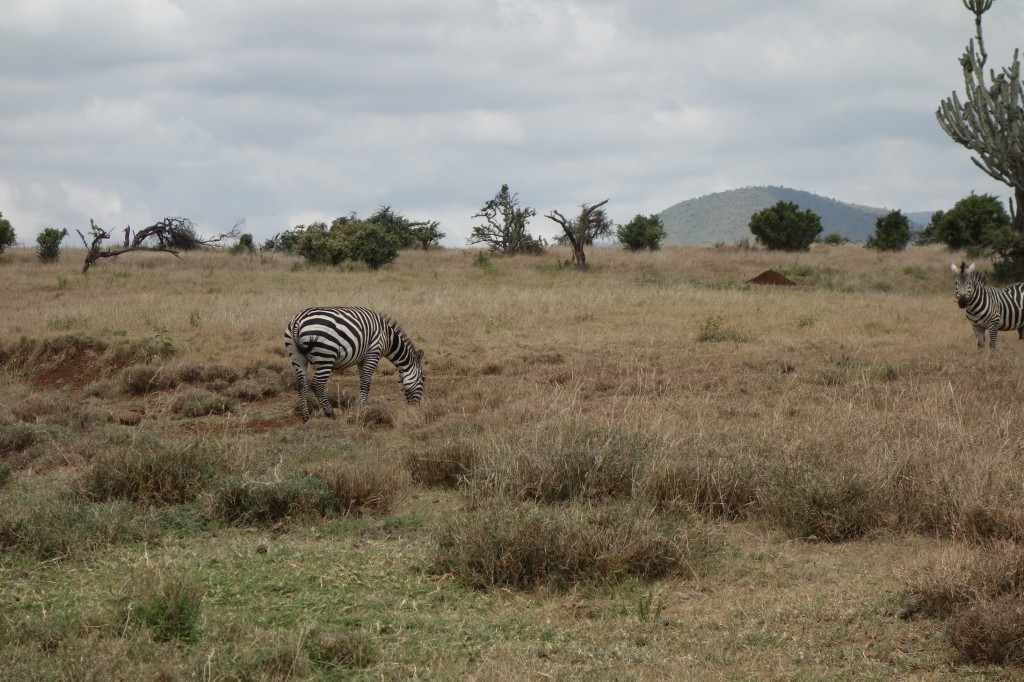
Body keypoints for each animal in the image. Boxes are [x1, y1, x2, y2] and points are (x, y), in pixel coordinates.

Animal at [284, 303, 423, 419]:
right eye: (423, 379)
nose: (417, 408)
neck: (387, 337)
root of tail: (298, 321)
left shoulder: (362, 359)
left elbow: (363, 382)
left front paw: (362, 406)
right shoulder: (373, 353)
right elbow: (366, 382)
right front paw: (363, 409)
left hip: (297, 356)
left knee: (301, 384)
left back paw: (305, 416)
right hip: (326, 355)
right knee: (317, 384)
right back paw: (331, 414)